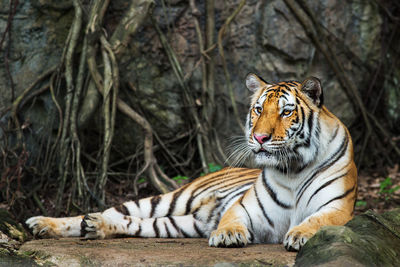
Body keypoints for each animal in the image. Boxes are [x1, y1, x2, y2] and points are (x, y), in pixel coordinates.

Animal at [25, 73, 356, 251]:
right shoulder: (245, 207)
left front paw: (298, 235)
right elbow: (231, 217)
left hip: (173, 224)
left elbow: (316, 220)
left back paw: (95, 227)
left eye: (286, 112)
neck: (292, 169)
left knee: (130, 224)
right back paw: (43, 223)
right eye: (259, 109)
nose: (260, 138)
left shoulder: (337, 208)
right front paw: (226, 235)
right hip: (167, 201)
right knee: (106, 212)